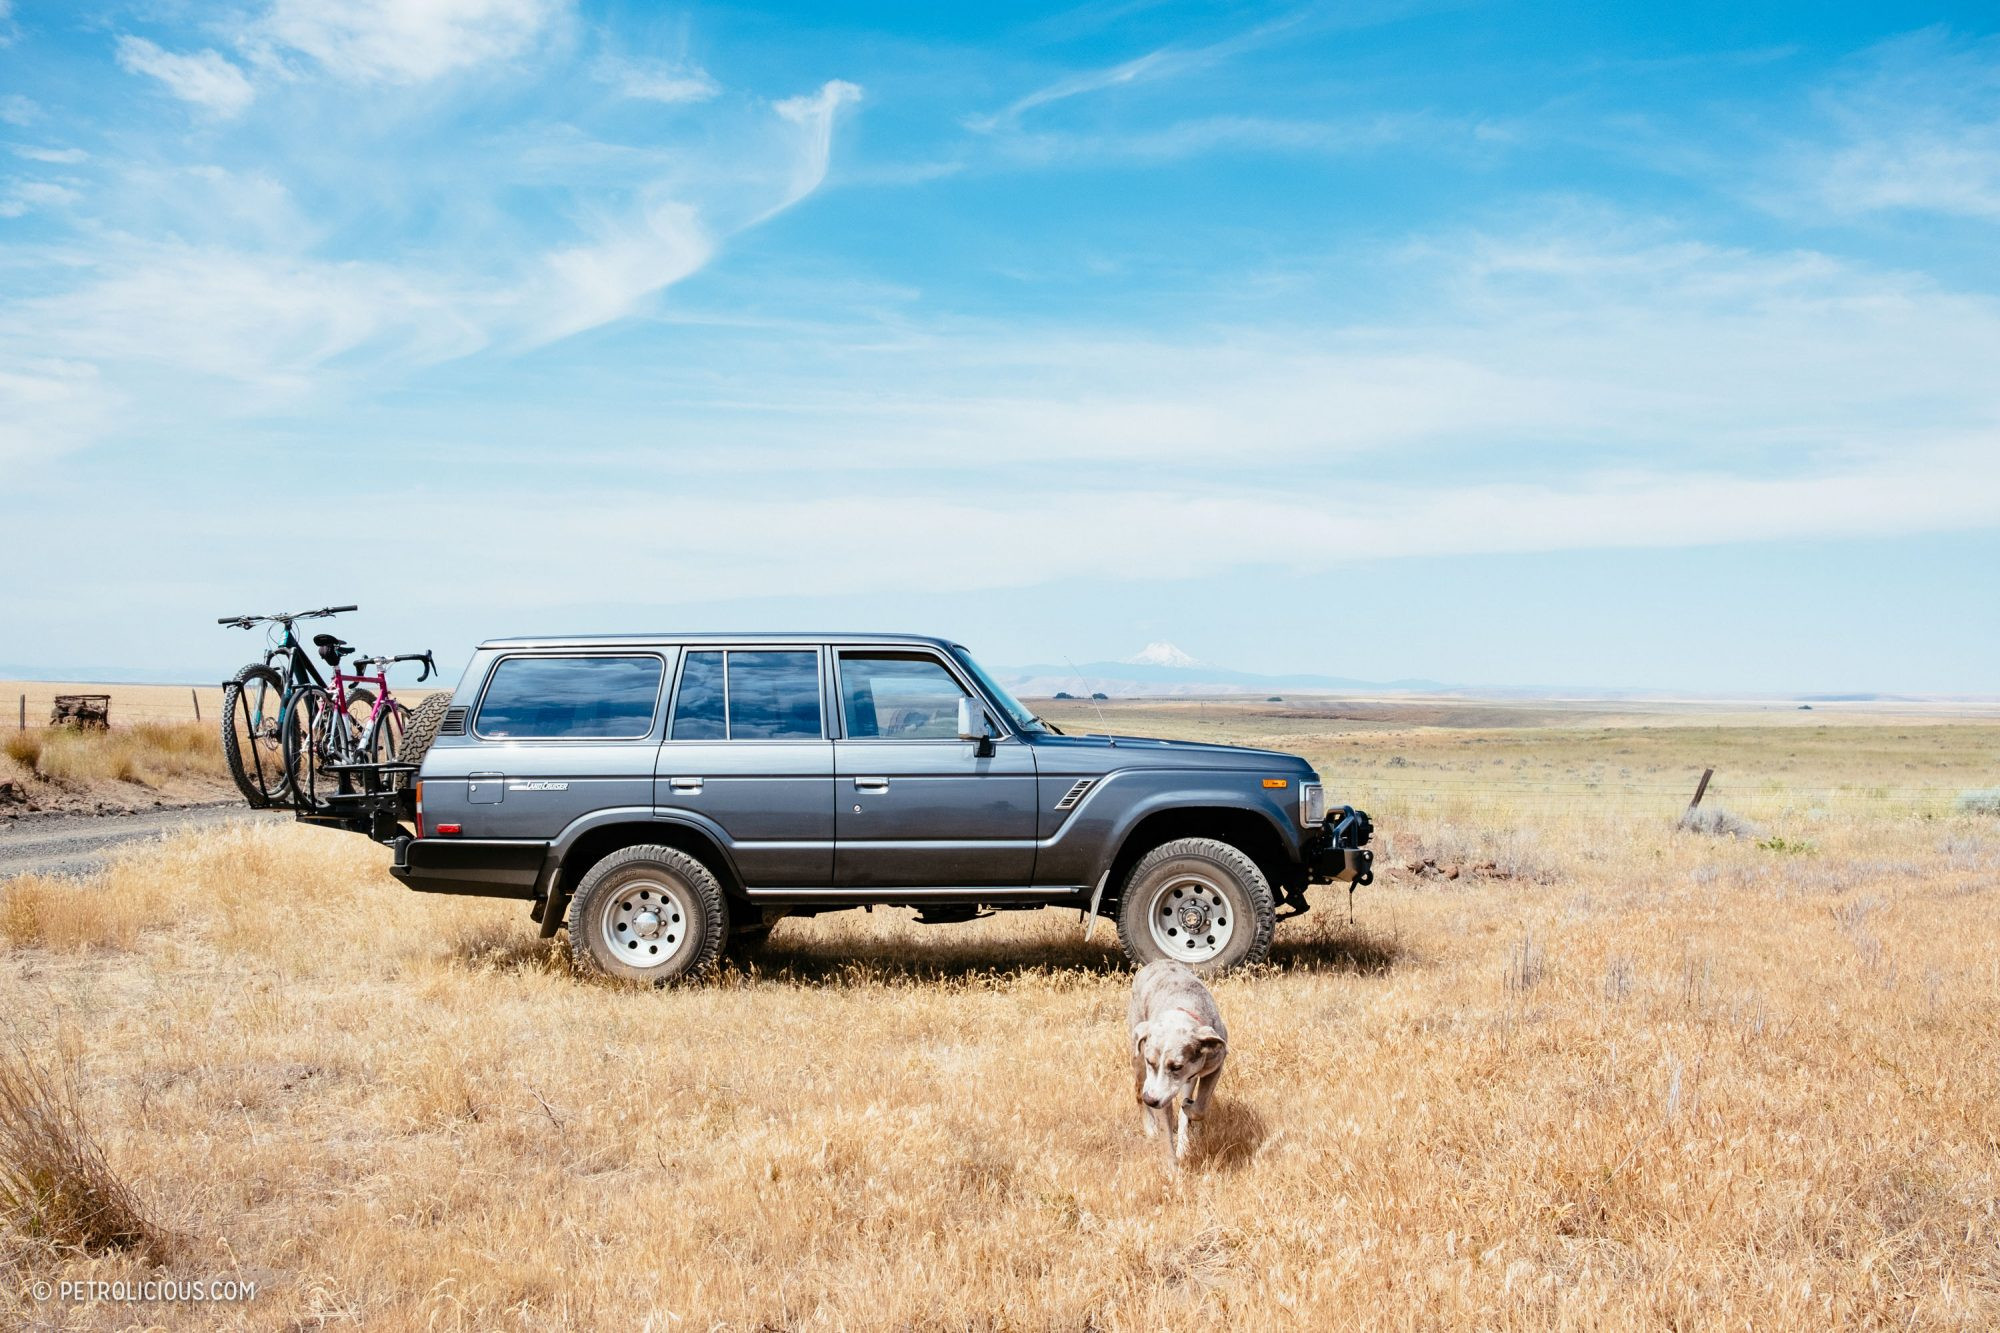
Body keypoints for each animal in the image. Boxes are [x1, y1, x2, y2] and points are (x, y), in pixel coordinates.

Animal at [1136, 956, 1224, 1160]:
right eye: (1150, 1062)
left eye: (1177, 1067)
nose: (1150, 1099)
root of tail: (1157, 962)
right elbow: (1166, 1134)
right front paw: (1172, 1166)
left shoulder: (1216, 1065)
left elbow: (1200, 1108)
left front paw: (1188, 1109)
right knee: (1137, 1090)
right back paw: (1150, 1128)